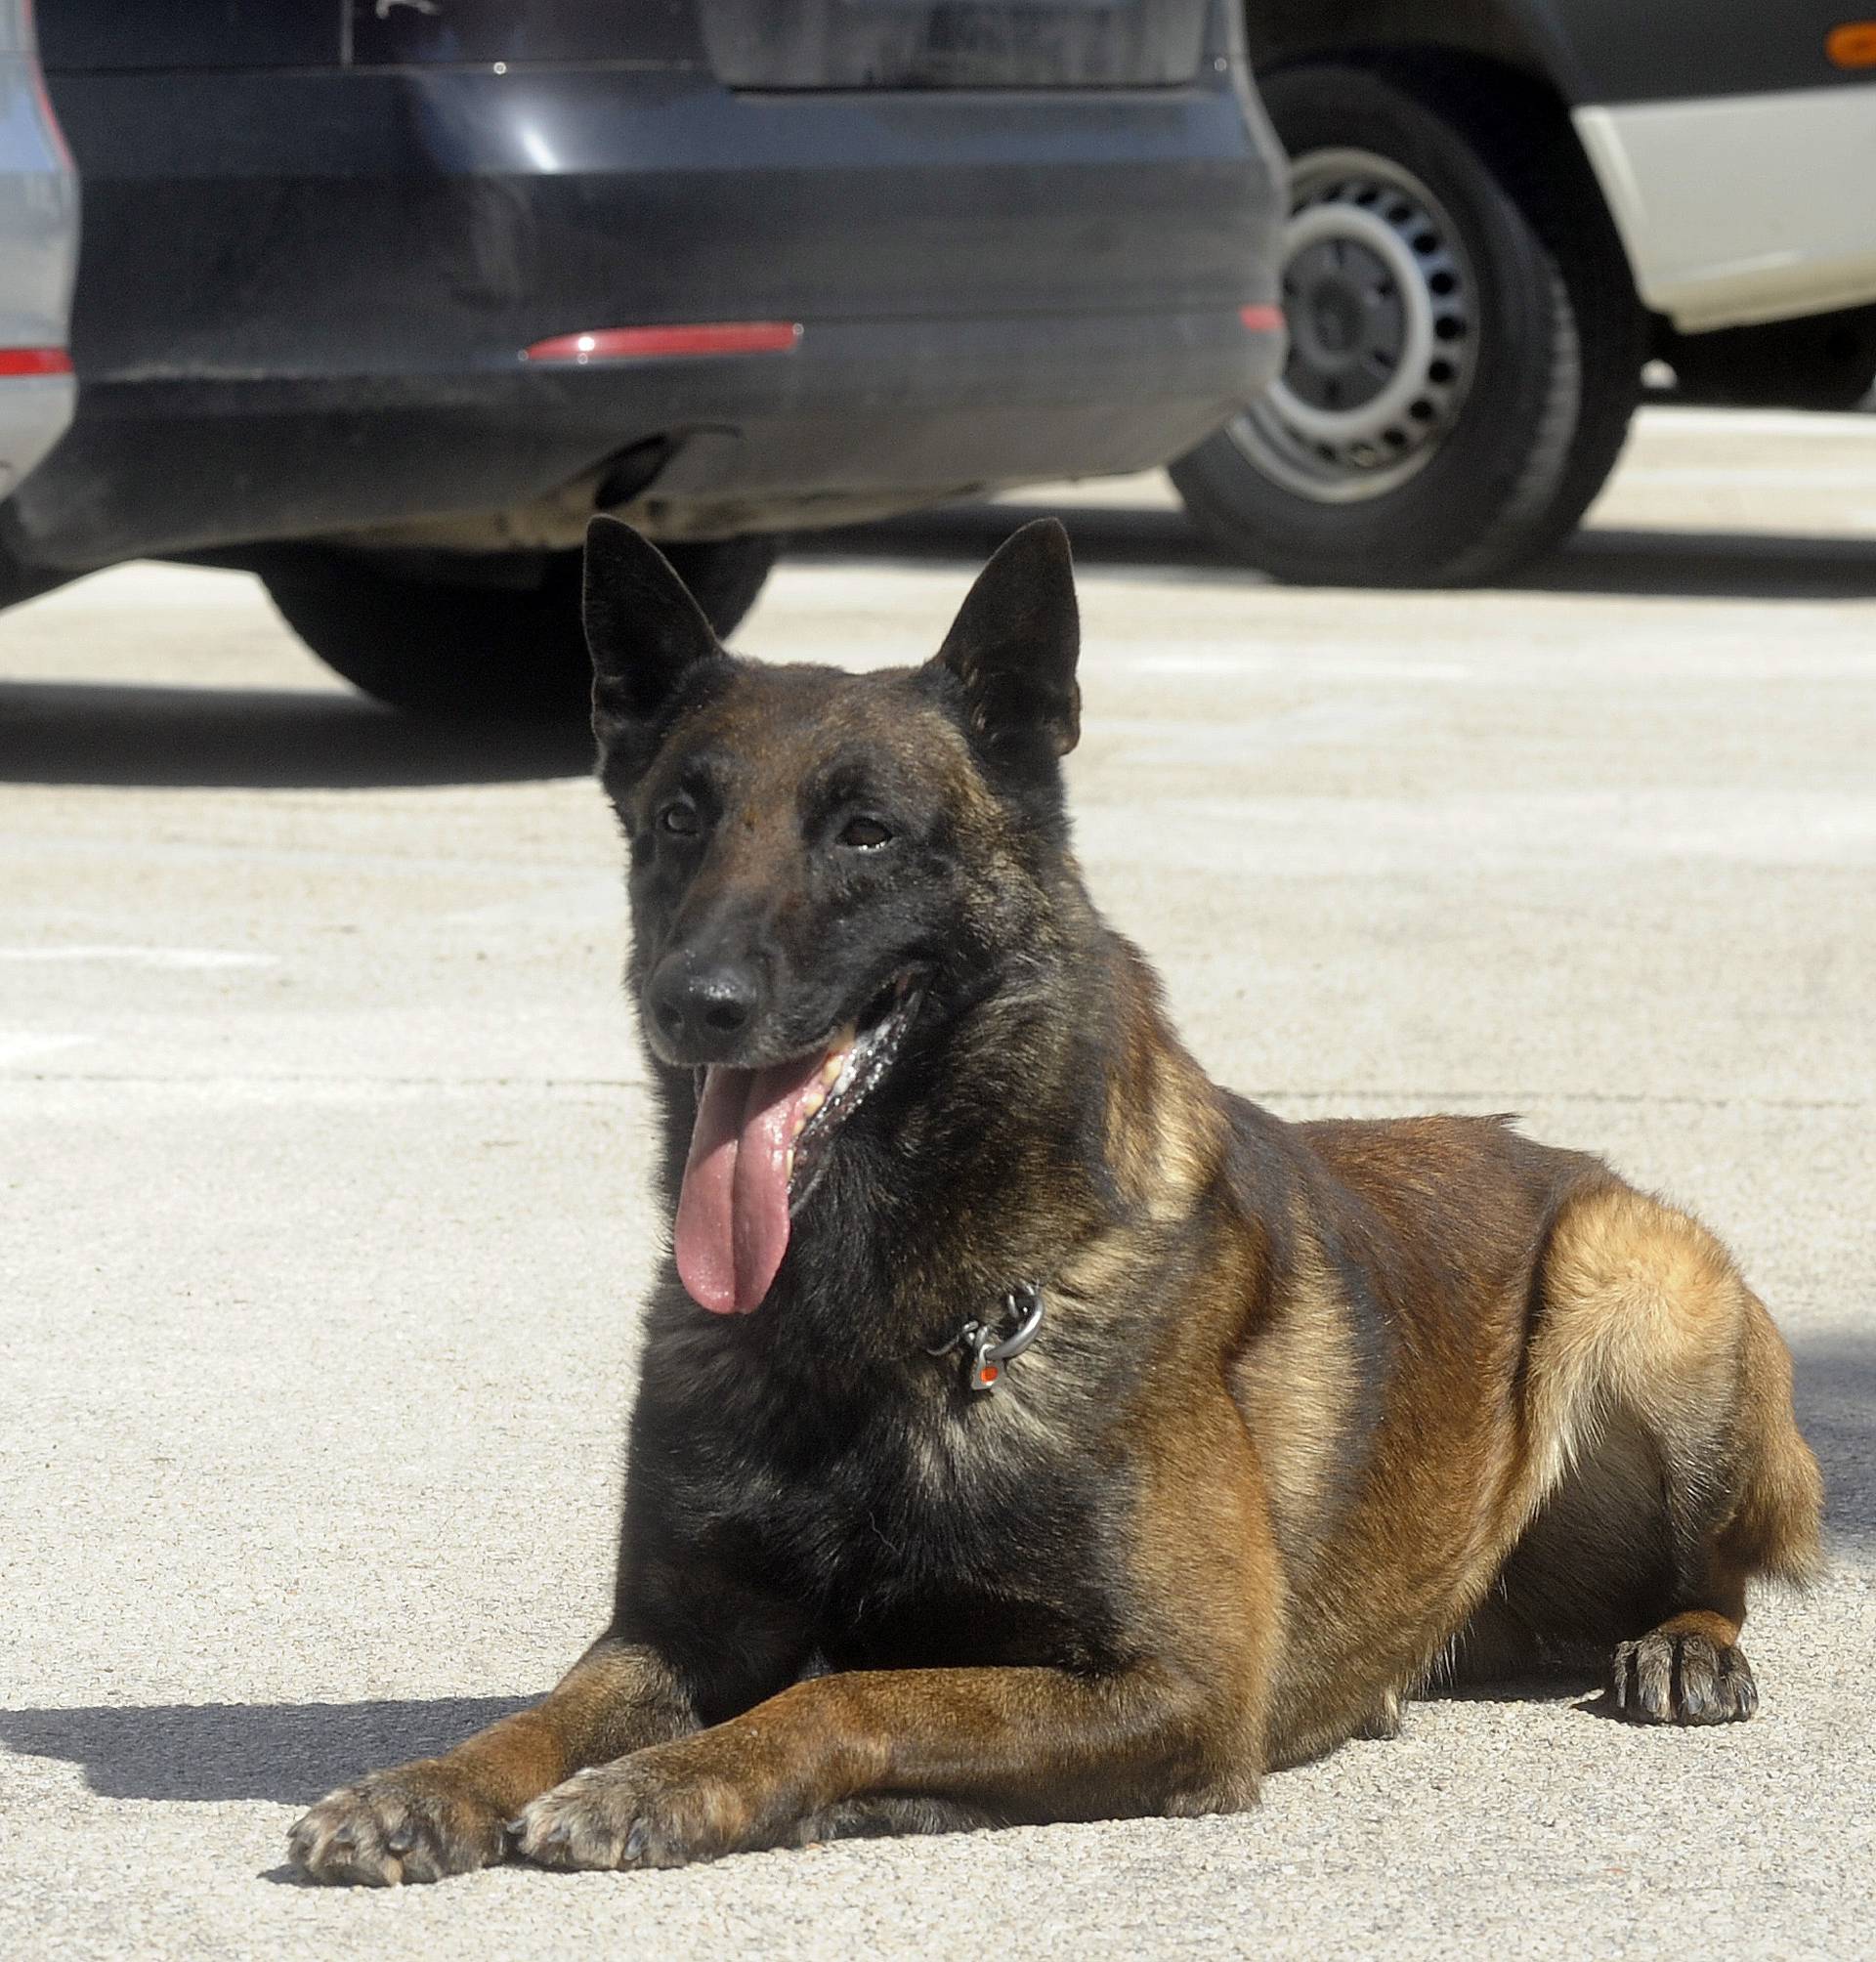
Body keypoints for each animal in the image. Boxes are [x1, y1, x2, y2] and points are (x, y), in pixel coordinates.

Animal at [286, 510, 1820, 1883]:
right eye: (677, 818)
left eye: (865, 833)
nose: (693, 1002)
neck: (874, 1317)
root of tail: (1576, 1163)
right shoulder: (675, 1634)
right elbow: (543, 1715)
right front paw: (422, 1785)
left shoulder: (1175, 1689)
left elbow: (843, 1694)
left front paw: (660, 1784)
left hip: (1634, 1281)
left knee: (1721, 1570)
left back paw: (1685, 1647)